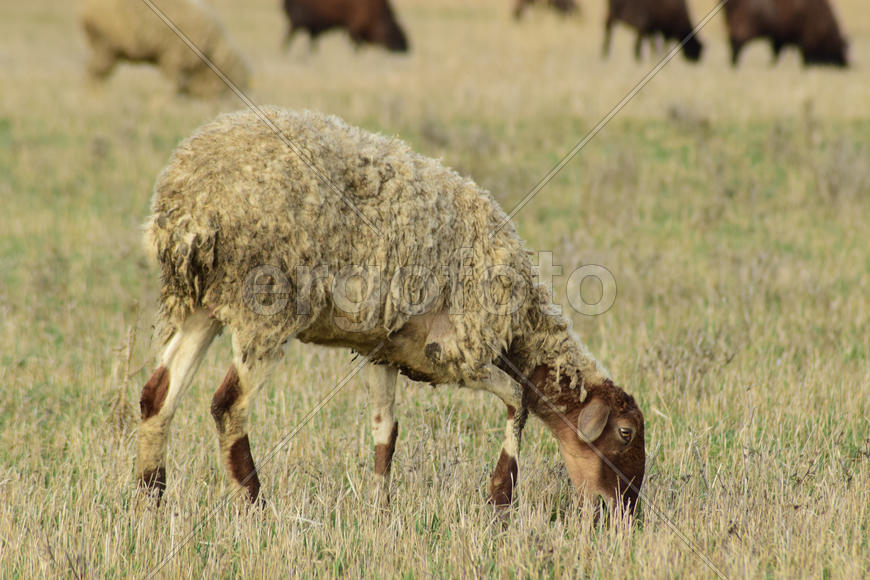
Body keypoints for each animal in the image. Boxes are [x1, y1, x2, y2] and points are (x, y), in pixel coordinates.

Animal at [137, 107, 645, 514]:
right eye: (625, 434)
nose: (622, 513)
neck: (521, 327)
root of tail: (188, 202)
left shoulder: (383, 351)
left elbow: (386, 433)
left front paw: (379, 508)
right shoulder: (457, 350)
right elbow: (519, 401)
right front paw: (500, 499)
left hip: (202, 303)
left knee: (157, 395)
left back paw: (150, 497)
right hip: (264, 306)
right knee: (227, 406)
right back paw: (255, 503)